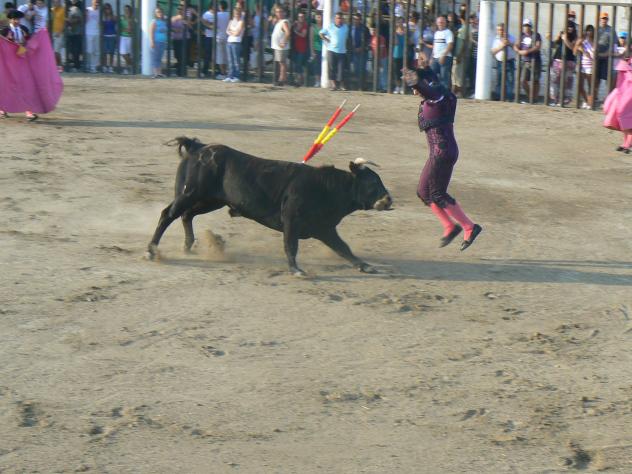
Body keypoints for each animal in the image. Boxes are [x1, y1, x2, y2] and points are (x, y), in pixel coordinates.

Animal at [146, 137, 393, 276]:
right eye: (372, 183)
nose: (389, 200)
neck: (328, 188)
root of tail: (199, 147)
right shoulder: (292, 220)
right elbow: (291, 246)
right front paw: (296, 270)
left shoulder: (324, 229)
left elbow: (344, 248)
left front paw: (366, 266)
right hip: (191, 193)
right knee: (168, 214)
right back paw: (151, 251)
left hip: (211, 201)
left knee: (186, 215)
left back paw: (188, 247)